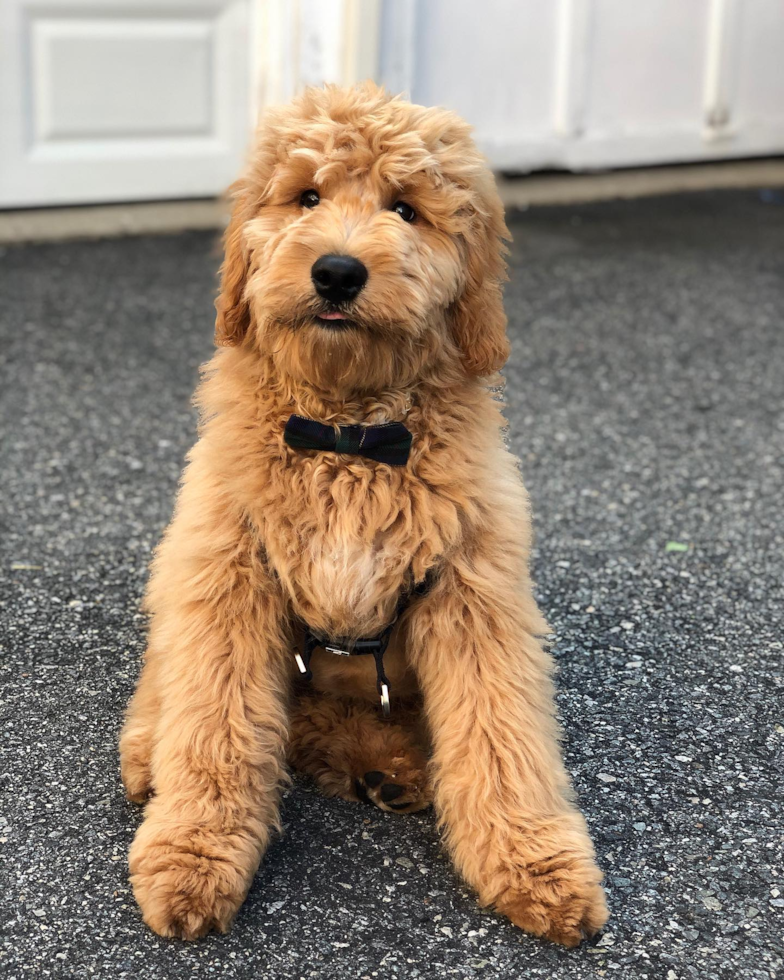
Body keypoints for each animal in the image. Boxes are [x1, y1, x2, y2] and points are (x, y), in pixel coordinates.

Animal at [119, 86, 608, 948]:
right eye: (307, 197)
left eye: (406, 209)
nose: (338, 271)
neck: (347, 436)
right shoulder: (228, 579)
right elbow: (215, 724)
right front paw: (191, 855)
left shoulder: (474, 596)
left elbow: (502, 735)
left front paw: (537, 867)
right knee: (185, 689)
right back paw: (154, 753)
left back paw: (391, 767)